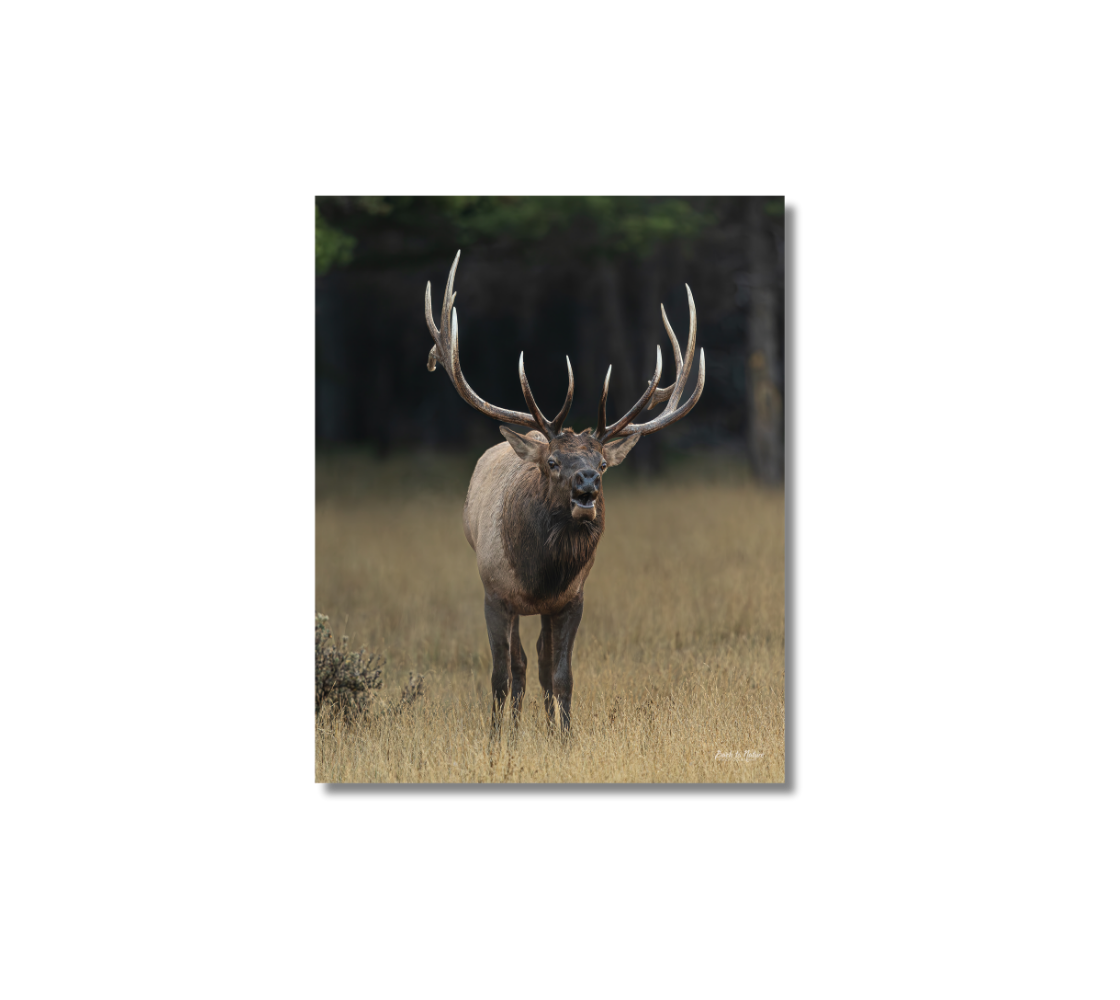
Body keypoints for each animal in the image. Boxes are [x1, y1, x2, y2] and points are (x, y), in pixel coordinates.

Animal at [424, 251, 705, 736]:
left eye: (604, 465)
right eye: (553, 463)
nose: (586, 483)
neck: (539, 576)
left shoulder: (572, 598)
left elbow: (560, 674)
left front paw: (565, 737)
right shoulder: (494, 592)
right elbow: (501, 675)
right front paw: (497, 739)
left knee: (537, 660)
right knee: (517, 665)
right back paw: (515, 727)